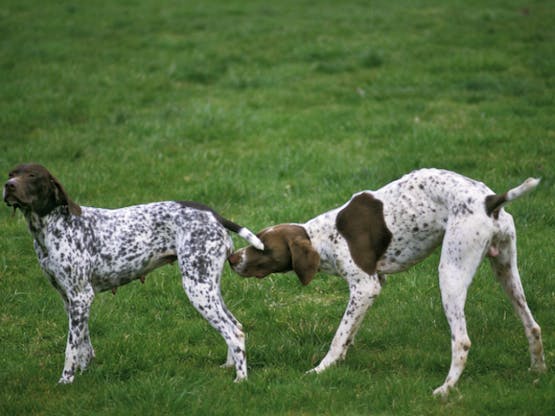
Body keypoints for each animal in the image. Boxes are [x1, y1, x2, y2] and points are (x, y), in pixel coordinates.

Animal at [3, 163, 264, 384]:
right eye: (11, 173)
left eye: (32, 175)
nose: (9, 185)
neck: (51, 228)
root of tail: (213, 214)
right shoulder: (70, 300)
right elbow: (83, 344)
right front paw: (85, 372)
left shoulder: (81, 296)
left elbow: (70, 349)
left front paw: (66, 381)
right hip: (208, 287)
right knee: (234, 325)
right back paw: (229, 366)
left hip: (197, 289)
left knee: (233, 332)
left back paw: (241, 379)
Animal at [230, 167, 548, 394]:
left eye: (262, 248)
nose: (232, 259)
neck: (326, 237)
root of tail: (489, 200)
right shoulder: (374, 286)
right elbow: (350, 332)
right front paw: (340, 362)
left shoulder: (364, 287)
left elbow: (339, 336)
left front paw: (322, 369)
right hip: (505, 270)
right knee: (533, 326)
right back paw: (537, 372)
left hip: (451, 273)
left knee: (462, 342)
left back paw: (445, 390)